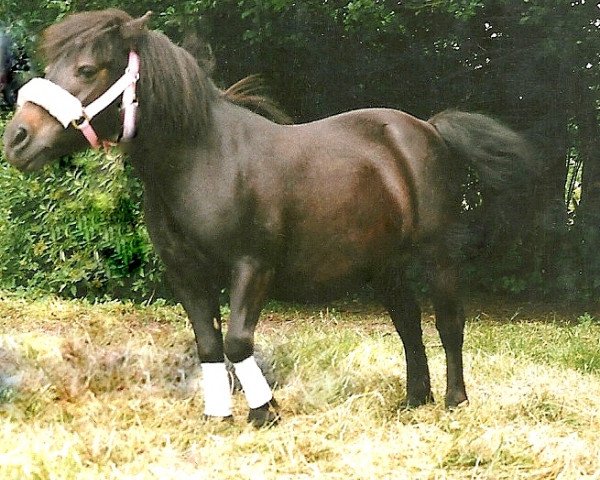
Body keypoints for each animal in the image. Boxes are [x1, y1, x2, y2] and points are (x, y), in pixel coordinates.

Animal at [0, 9, 536, 426]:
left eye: (87, 68)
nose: (17, 138)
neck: (202, 159)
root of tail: (428, 128)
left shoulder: (252, 266)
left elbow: (238, 342)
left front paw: (264, 411)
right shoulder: (186, 274)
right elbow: (210, 345)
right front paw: (218, 413)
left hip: (437, 255)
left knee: (448, 323)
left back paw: (454, 401)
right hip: (386, 266)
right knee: (408, 325)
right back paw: (414, 400)